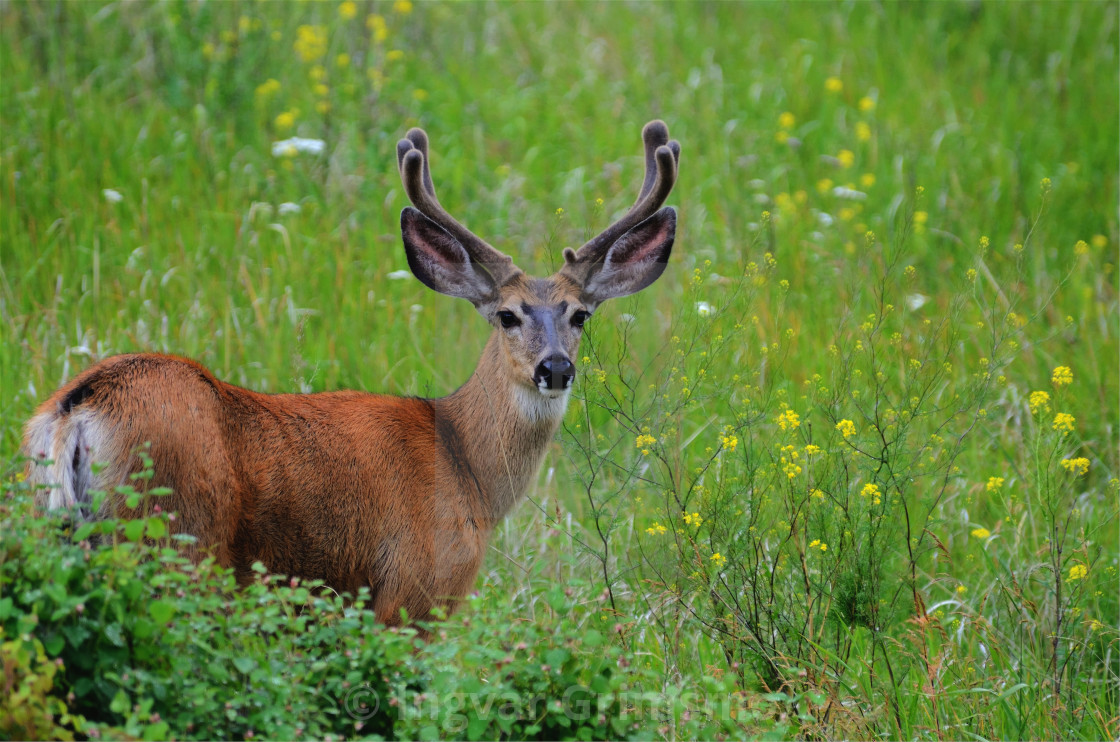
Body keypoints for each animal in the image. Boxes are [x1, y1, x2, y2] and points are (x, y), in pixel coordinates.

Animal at [21, 120, 676, 627]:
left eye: (580, 315)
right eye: (507, 314)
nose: (555, 367)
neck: (468, 470)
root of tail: (79, 408)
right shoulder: (415, 591)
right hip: (175, 537)